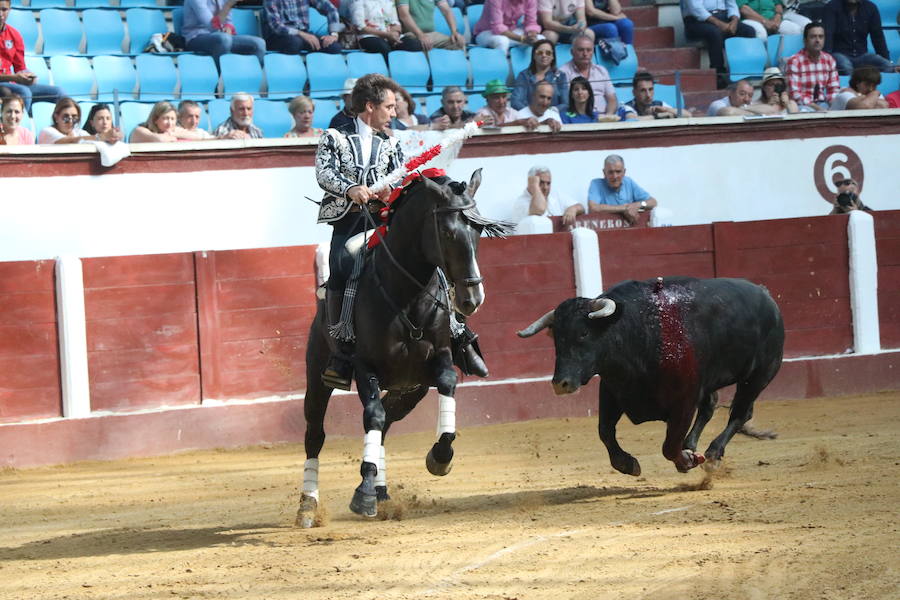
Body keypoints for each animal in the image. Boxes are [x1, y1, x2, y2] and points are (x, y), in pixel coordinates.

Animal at [298, 168, 510, 524]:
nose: (472, 298)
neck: (406, 296)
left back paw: (382, 491)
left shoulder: (439, 360)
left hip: (409, 389)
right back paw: (308, 506)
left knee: (387, 423)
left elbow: (446, 387)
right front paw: (363, 495)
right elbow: (372, 416)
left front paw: (440, 457)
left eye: (479, 230)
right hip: (317, 376)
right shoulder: (365, 367)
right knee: (317, 434)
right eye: (447, 232)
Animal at [516, 276, 784, 474]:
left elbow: (669, 445)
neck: (639, 332)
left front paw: (686, 461)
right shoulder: (612, 390)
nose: (560, 384)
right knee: (710, 407)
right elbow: (604, 430)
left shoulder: (685, 400)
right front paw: (627, 464)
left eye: (583, 333)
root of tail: (766, 295)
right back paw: (692, 446)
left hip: (759, 375)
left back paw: (712, 454)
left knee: (740, 413)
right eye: (556, 338)